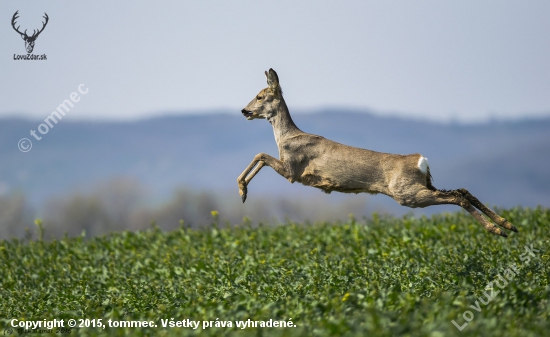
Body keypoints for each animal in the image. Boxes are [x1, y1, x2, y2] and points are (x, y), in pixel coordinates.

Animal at [238, 68, 520, 236]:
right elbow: (260, 156)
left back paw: (497, 230)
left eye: (260, 96)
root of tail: (421, 161)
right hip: (421, 186)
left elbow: (260, 155)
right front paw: (243, 192)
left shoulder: (293, 170)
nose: (244, 110)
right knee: (462, 190)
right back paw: (508, 225)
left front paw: (242, 190)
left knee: (456, 197)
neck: (285, 137)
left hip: (407, 193)